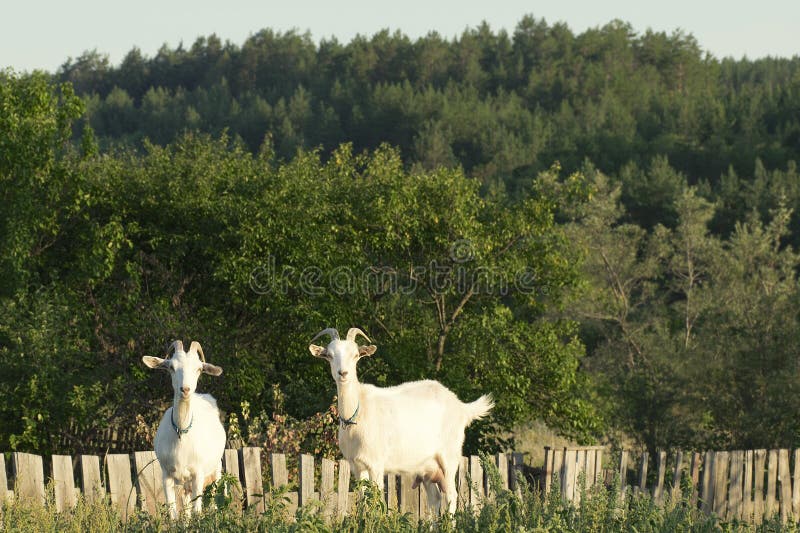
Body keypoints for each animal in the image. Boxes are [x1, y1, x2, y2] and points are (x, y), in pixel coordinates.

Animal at [142, 340, 225, 519]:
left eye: (199, 369)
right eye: (171, 367)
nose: (185, 389)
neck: (181, 434)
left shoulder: (198, 474)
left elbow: (197, 511)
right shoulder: (166, 474)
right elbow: (174, 514)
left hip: (216, 469)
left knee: (214, 501)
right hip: (184, 483)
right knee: (186, 507)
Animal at [309, 327, 493, 515]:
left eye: (356, 355)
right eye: (329, 355)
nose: (343, 373)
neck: (358, 413)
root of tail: (461, 406)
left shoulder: (376, 464)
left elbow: (376, 501)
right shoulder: (356, 466)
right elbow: (363, 501)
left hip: (449, 456)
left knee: (451, 495)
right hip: (427, 467)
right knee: (435, 498)